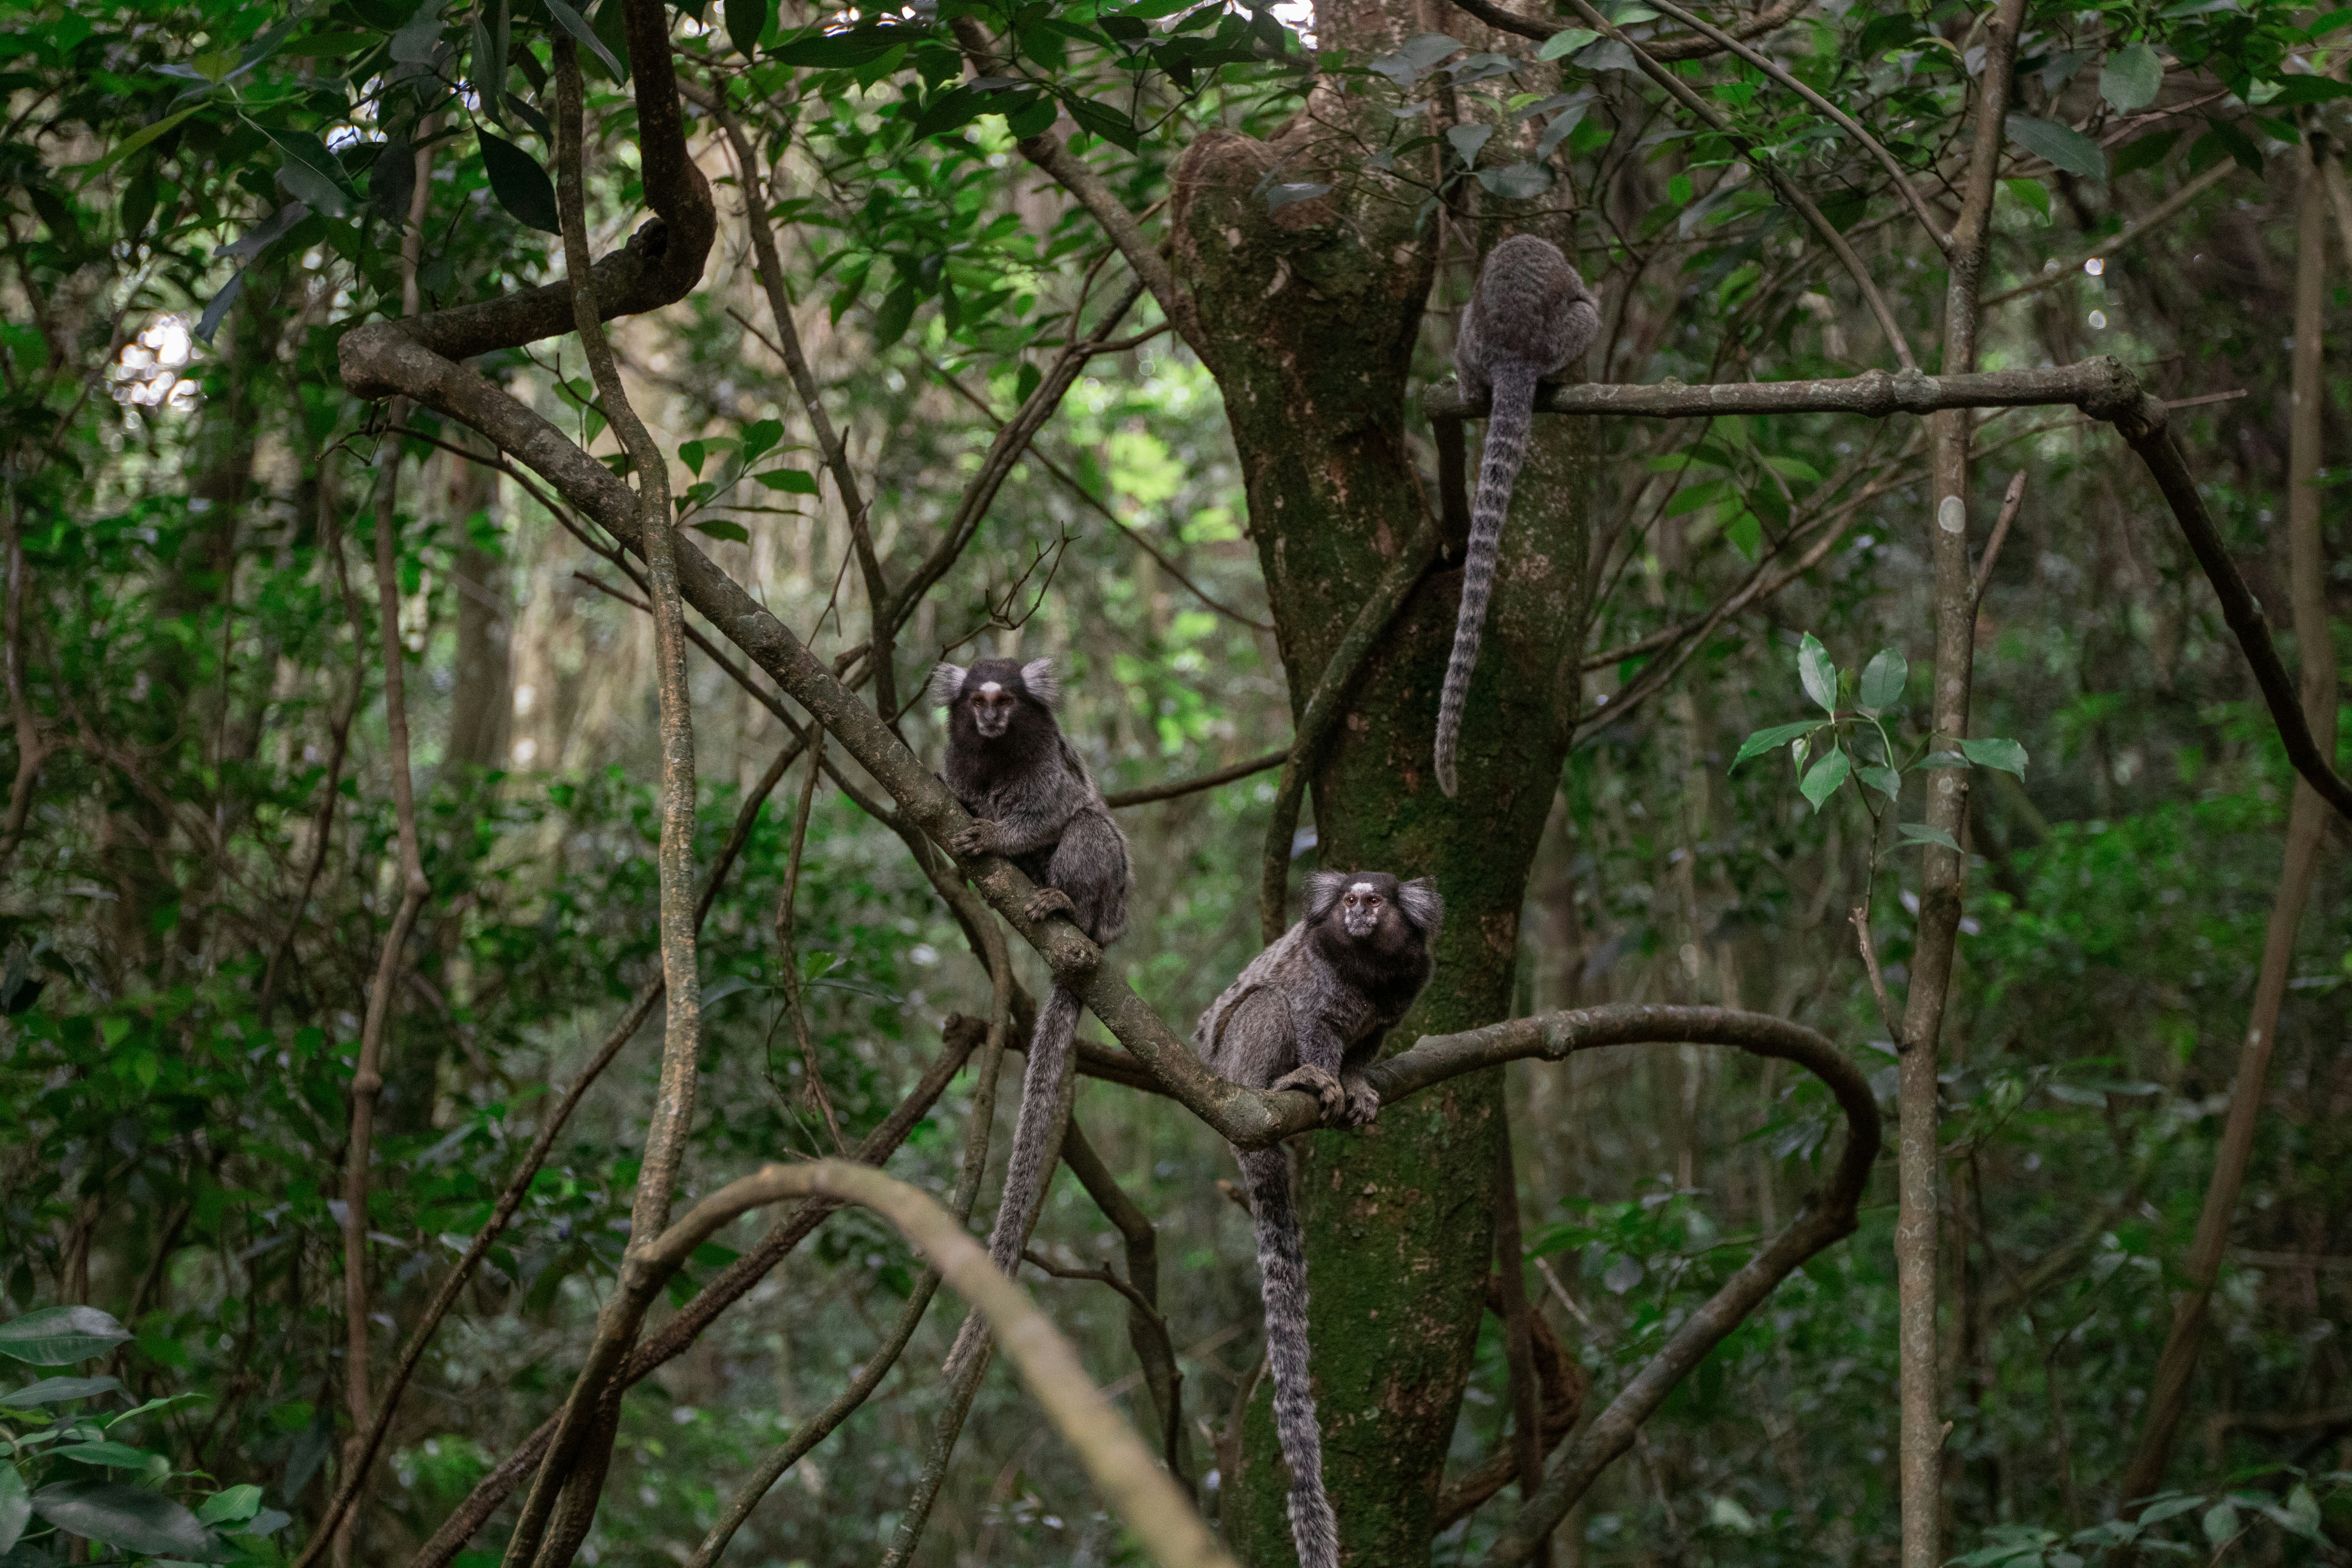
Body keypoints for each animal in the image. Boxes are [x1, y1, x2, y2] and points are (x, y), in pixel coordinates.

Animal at [930, 656, 1131, 1371]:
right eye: (978, 701)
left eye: (1007, 701)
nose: (991, 717)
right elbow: (955, 790)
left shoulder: (1047, 769)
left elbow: (1062, 808)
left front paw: (995, 831)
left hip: (1113, 901)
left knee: (1091, 830)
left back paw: (1064, 906)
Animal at [1193, 870, 1443, 1568]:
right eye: (1350, 900)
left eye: (1375, 901)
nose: (1358, 913)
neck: (1369, 966)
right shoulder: (1318, 984)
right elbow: (1310, 1022)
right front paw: (1327, 1078)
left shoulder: (1402, 995)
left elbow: (1367, 1046)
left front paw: (1357, 1086)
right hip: (1233, 1068)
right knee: (1267, 1006)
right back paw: (1290, 1085)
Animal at [1436, 233, 1602, 798]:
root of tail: (1514, 352)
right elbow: (1586, 296)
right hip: (1559, 339)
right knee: (1588, 317)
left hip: (1474, 336)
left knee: (1467, 333)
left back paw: (1468, 388)